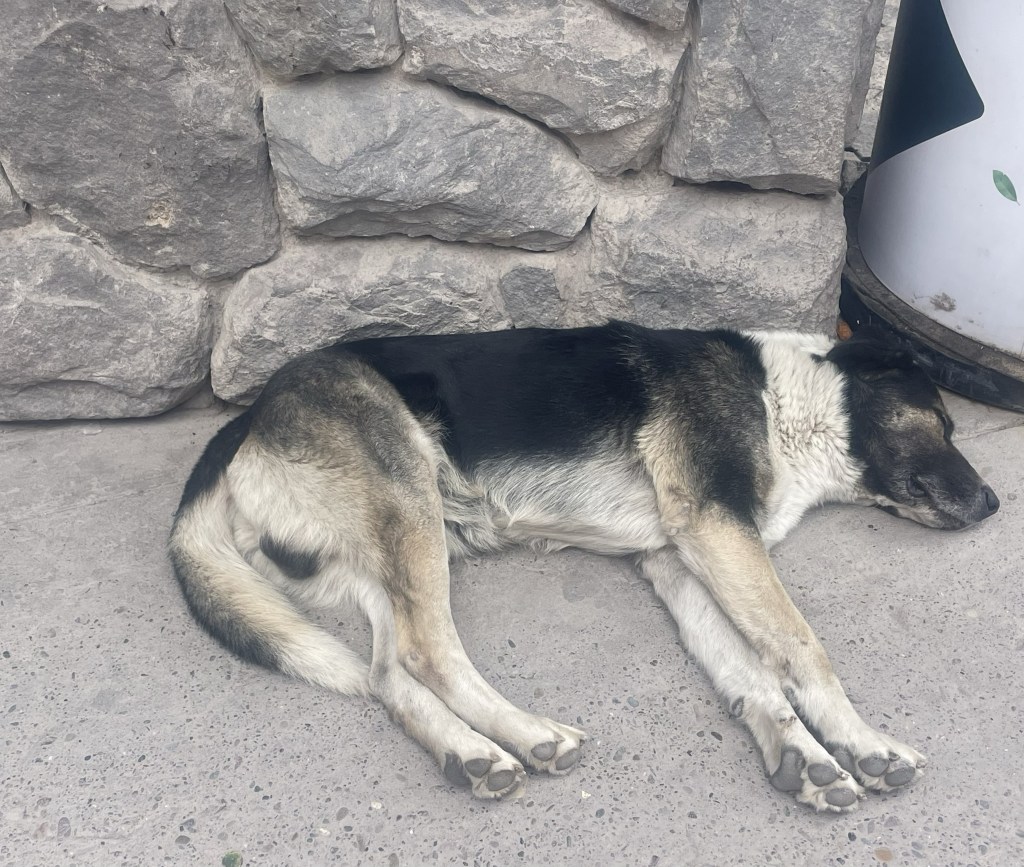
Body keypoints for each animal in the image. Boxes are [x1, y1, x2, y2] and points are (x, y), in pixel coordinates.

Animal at [169, 322, 999, 812]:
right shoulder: (717, 528)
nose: (994, 503)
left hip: (382, 557)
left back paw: (471, 755)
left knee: (387, 672)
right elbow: (801, 649)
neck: (792, 399)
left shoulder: (679, 556)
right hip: (410, 502)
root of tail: (247, 416)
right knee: (427, 651)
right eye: (943, 422)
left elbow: (751, 673)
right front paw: (863, 739)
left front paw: (800, 751)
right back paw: (527, 733)